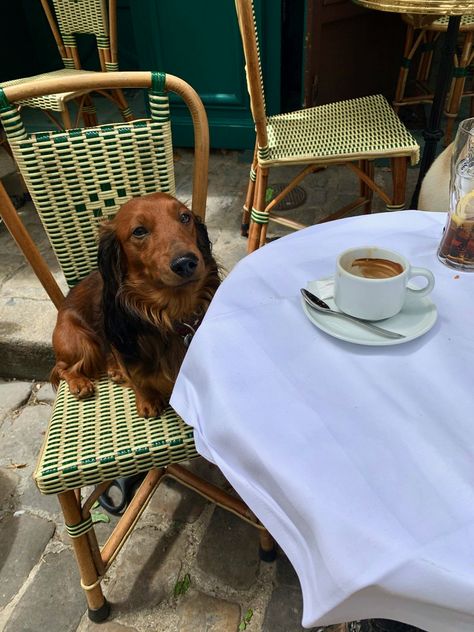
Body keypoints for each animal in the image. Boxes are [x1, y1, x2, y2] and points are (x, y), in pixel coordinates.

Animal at [51, 193, 221, 420]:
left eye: (185, 217)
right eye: (139, 231)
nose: (185, 262)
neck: (173, 315)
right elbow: (138, 380)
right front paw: (147, 401)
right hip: (80, 342)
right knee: (61, 368)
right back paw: (80, 382)